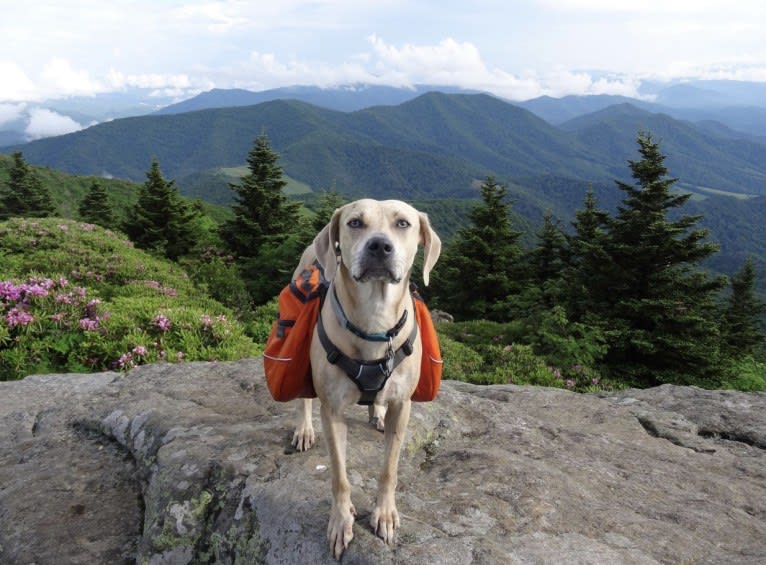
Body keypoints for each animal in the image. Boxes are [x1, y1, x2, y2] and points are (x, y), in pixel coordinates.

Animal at [290, 199, 444, 560]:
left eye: (403, 223)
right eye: (355, 222)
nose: (379, 246)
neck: (374, 317)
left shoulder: (403, 405)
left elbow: (389, 468)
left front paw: (384, 514)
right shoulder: (332, 410)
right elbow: (339, 475)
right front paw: (340, 520)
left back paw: (378, 412)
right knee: (305, 398)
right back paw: (304, 428)